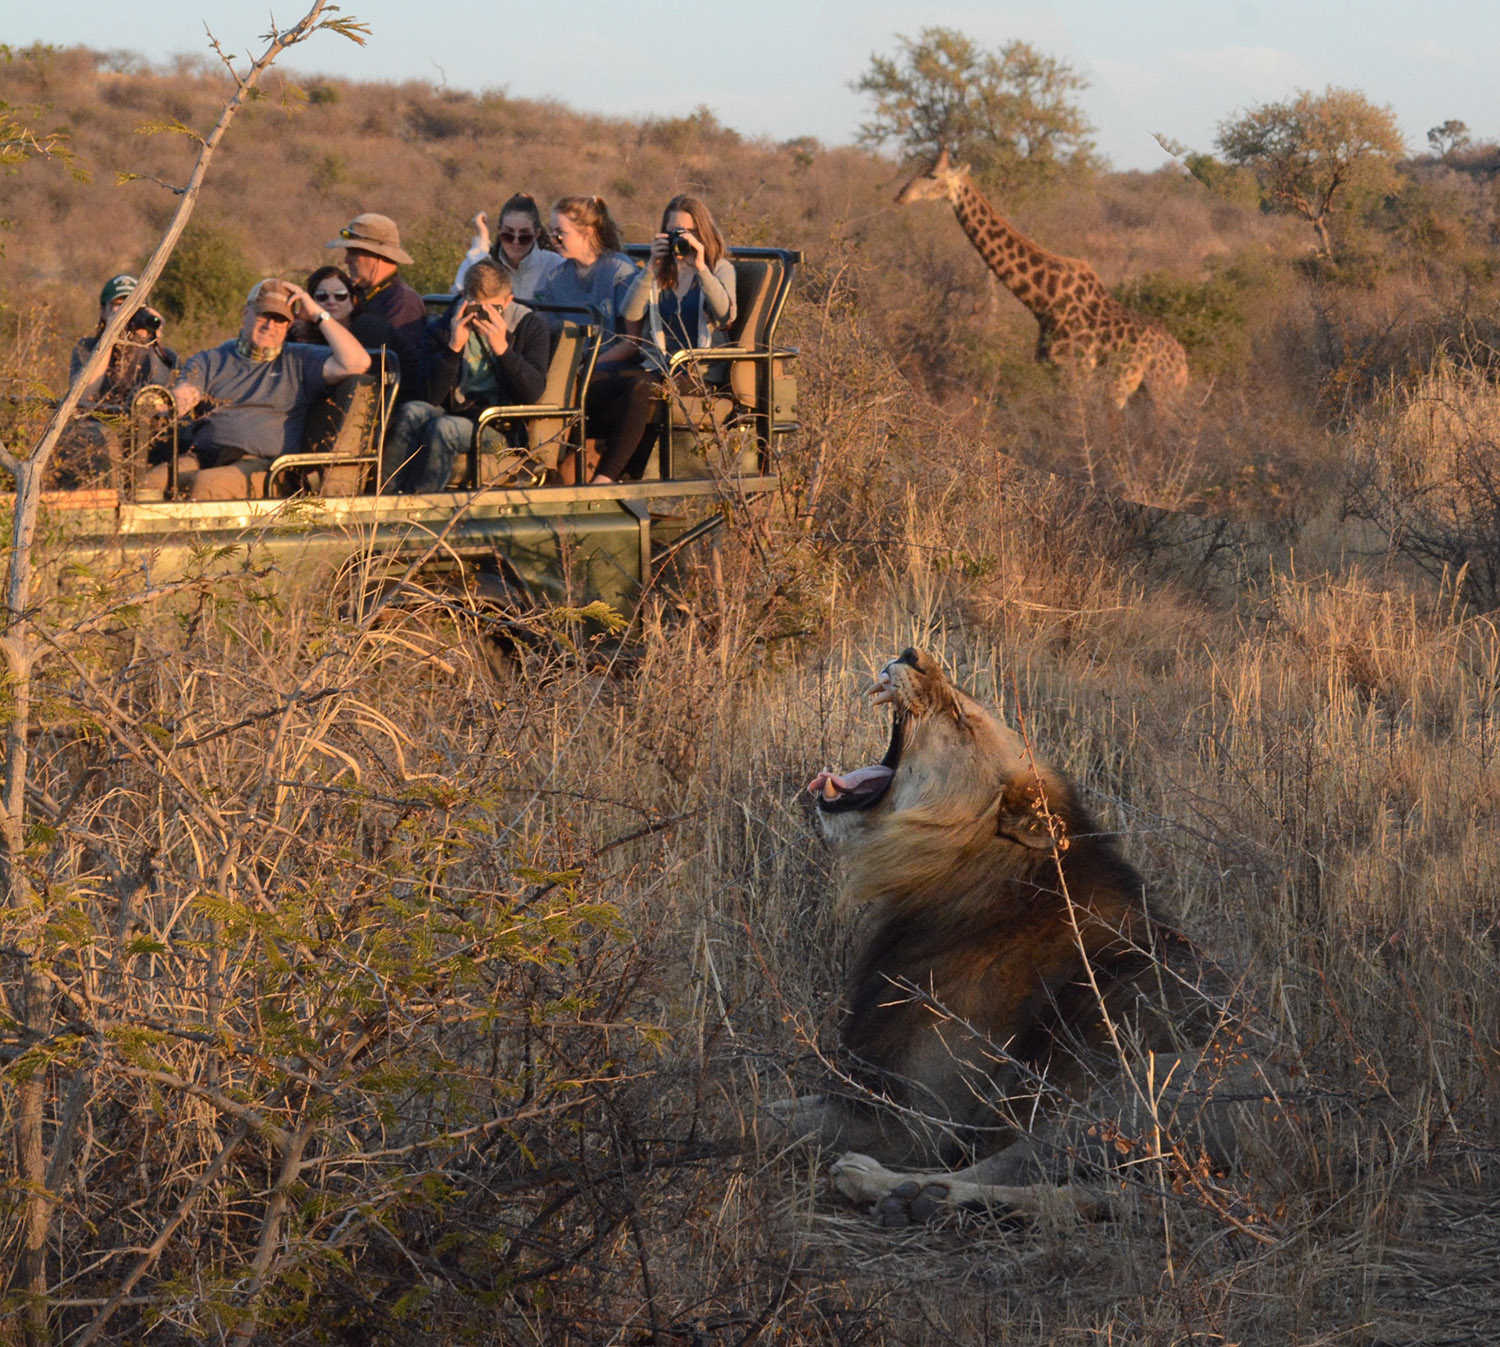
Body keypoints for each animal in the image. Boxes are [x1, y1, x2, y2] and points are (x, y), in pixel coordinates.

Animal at [780, 651, 1284, 1230]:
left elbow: (751, 1113)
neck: (958, 877)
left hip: (1125, 1095)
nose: (913, 656)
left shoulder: (918, 1120)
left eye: (962, 719)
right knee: (1087, 1193)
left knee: (1007, 1170)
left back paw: (891, 1187)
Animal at [894, 150, 1188, 408]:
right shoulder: (1053, 374)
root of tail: (1184, 368)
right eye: (920, 169)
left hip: (1162, 394)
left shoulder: (1074, 377)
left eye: (932, 175)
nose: (900, 195)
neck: (1045, 299)